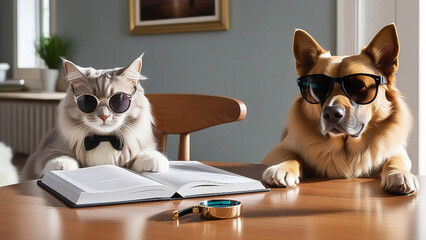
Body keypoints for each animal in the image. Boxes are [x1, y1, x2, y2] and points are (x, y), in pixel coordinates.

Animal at [20, 55, 169, 181]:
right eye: (87, 101)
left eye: (118, 100)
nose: (104, 116)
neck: (104, 139)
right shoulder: (47, 149)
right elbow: (57, 157)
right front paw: (62, 166)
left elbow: (145, 153)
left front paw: (153, 160)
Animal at [262, 23, 418, 194]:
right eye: (318, 87)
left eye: (359, 85)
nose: (331, 113)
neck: (345, 149)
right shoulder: (278, 150)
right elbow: (292, 155)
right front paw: (282, 168)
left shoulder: (399, 153)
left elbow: (395, 160)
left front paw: (398, 173)